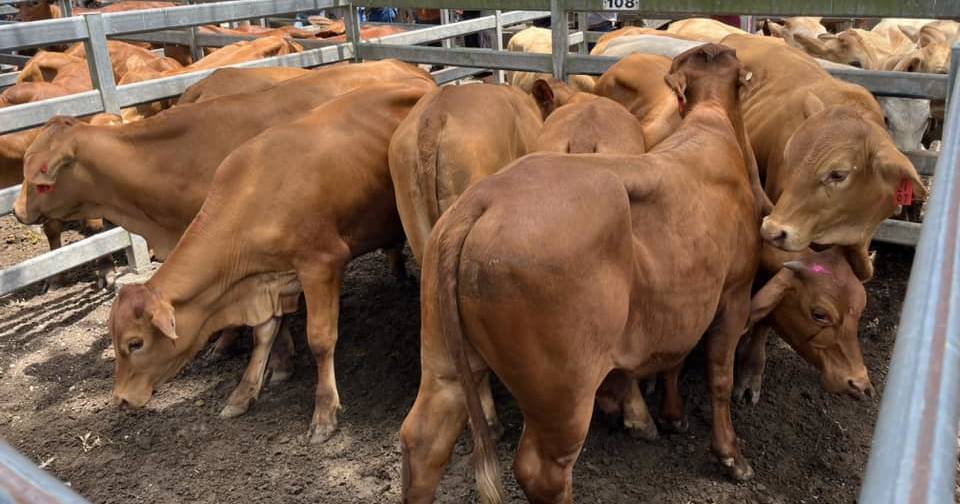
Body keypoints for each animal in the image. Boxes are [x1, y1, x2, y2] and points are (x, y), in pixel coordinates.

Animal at [108, 79, 432, 440]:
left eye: (135, 343)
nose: (121, 398)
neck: (253, 196)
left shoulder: (321, 265)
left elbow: (320, 339)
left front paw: (324, 412)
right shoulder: (269, 279)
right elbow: (263, 334)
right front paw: (242, 394)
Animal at [402, 44, 760, 504]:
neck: (710, 120)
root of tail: (484, 200)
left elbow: (675, 360)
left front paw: (672, 416)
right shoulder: (734, 292)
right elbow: (720, 376)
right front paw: (730, 454)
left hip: (443, 355)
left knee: (424, 439)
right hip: (562, 393)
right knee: (542, 471)